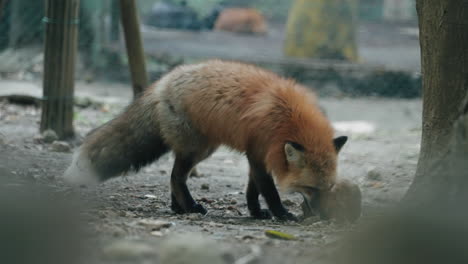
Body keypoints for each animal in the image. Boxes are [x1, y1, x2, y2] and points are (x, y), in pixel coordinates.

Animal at [64, 60, 346, 221]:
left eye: (329, 188)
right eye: (310, 188)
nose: (323, 216)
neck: (288, 117)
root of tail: (161, 83)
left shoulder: (257, 153)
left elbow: (252, 189)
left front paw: (256, 213)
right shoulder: (259, 152)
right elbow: (269, 190)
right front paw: (282, 214)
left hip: (202, 147)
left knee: (173, 176)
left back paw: (178, 208)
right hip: (197, 149)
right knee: (176, 177)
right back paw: (190, 207)